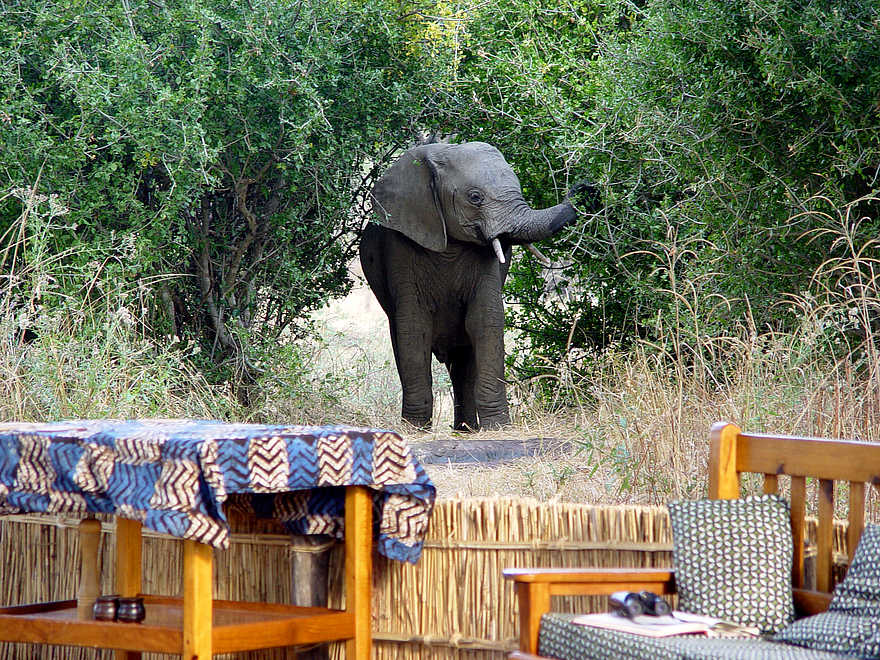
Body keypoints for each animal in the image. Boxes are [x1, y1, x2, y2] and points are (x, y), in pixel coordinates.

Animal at [360, 141, 593, 431]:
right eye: (475, 197)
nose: (585, 188)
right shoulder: (401, 247)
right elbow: (413, 327)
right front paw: (414, 428)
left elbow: (485, 320)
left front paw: (498, 427)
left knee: (463, 359)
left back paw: (466, 429)